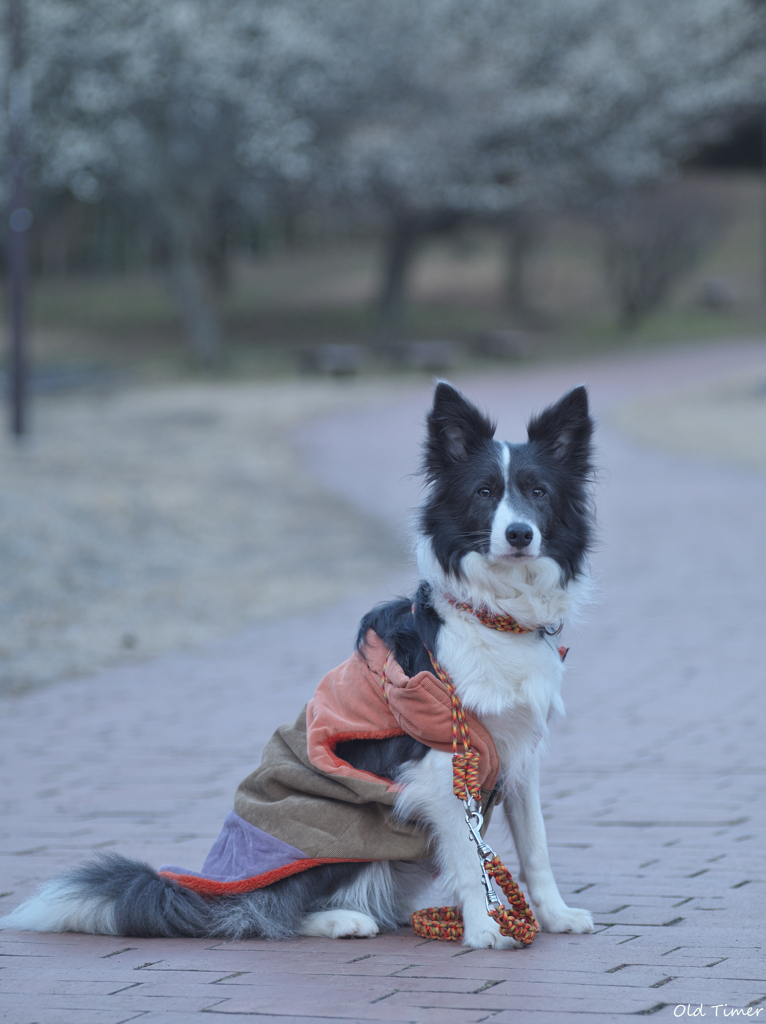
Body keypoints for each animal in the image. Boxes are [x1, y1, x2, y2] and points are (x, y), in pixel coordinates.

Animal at [0, 380, 593, 946]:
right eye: (484, 493)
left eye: (538, 493)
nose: (519, 534)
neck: (494, 615)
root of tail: (208, 892)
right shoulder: (442, 764)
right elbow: (471, 861)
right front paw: (485, 929)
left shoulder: (518, 757)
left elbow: (536, 847)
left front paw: (553, 917)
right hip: (338, 832)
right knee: (266, 912)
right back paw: (339, 920)